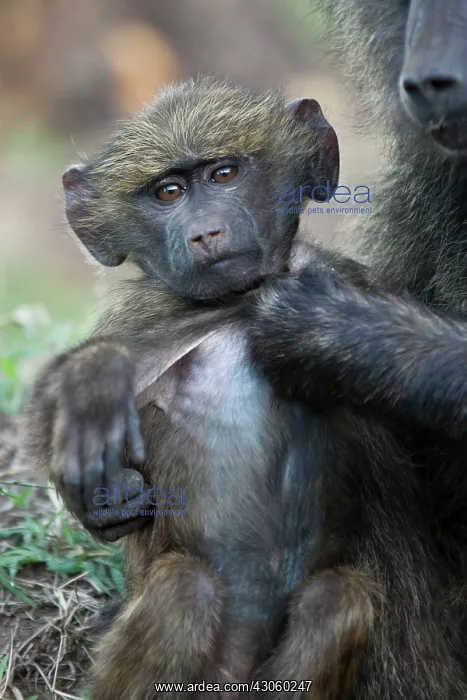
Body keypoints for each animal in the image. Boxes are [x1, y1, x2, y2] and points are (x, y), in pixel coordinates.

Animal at [20, 78, 444, 700]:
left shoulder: (340, 279)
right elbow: (58, 397)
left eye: (223, 174)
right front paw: (93, 453)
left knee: (335, 601)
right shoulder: (148, 315)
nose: (206, 233)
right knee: (183, 591)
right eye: (168, 192)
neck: (240, 305)